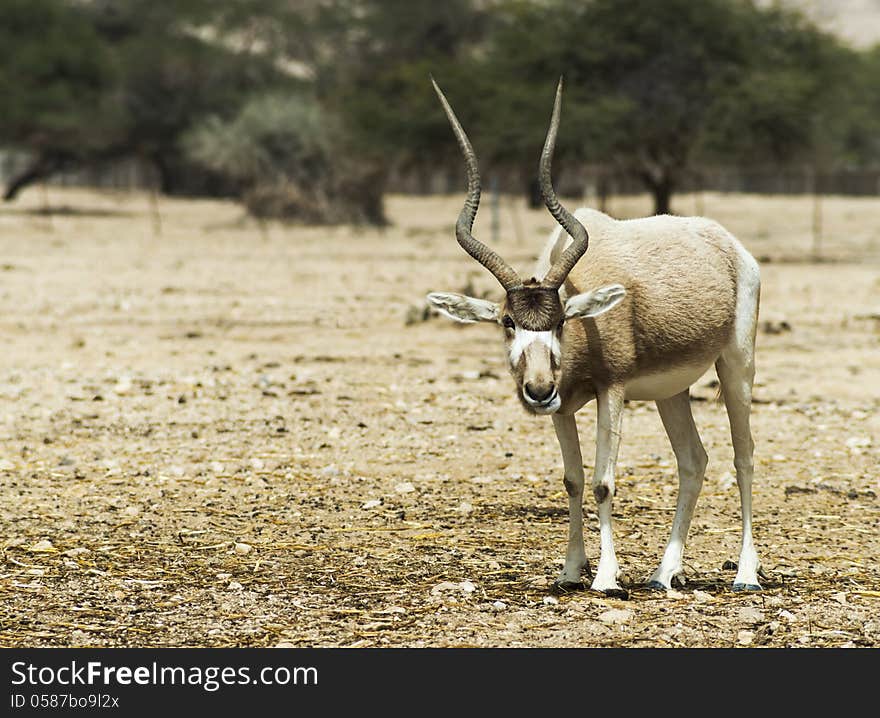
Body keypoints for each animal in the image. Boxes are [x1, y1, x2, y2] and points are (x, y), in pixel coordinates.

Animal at [428, 79, 764, 596]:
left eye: (561, 321)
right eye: (507, 321)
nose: (538, 389)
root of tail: (726, 243)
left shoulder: (614, 391)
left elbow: (605, 480)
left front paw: (606, 577)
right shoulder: (562, 409)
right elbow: (573, 479)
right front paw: (570, 570)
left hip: (736, 365)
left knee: (742, 456)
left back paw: (745, 574)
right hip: (671, 392)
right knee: (694, 460)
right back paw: (664, 573)